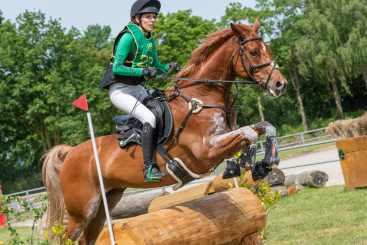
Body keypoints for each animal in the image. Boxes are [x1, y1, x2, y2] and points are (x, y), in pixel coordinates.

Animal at [39, 19, 288, 245]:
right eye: (254, 52)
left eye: (267, 49)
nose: (280, 84)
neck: (203, 95)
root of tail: (71, 153)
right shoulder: (206, 150)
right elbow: (250, 134)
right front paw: (243, 165)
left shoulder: (228, 135)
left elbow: (264, 126)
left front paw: (265, 163)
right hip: (82, 210)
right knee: (66, 237)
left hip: (106, 202)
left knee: (87, 238)